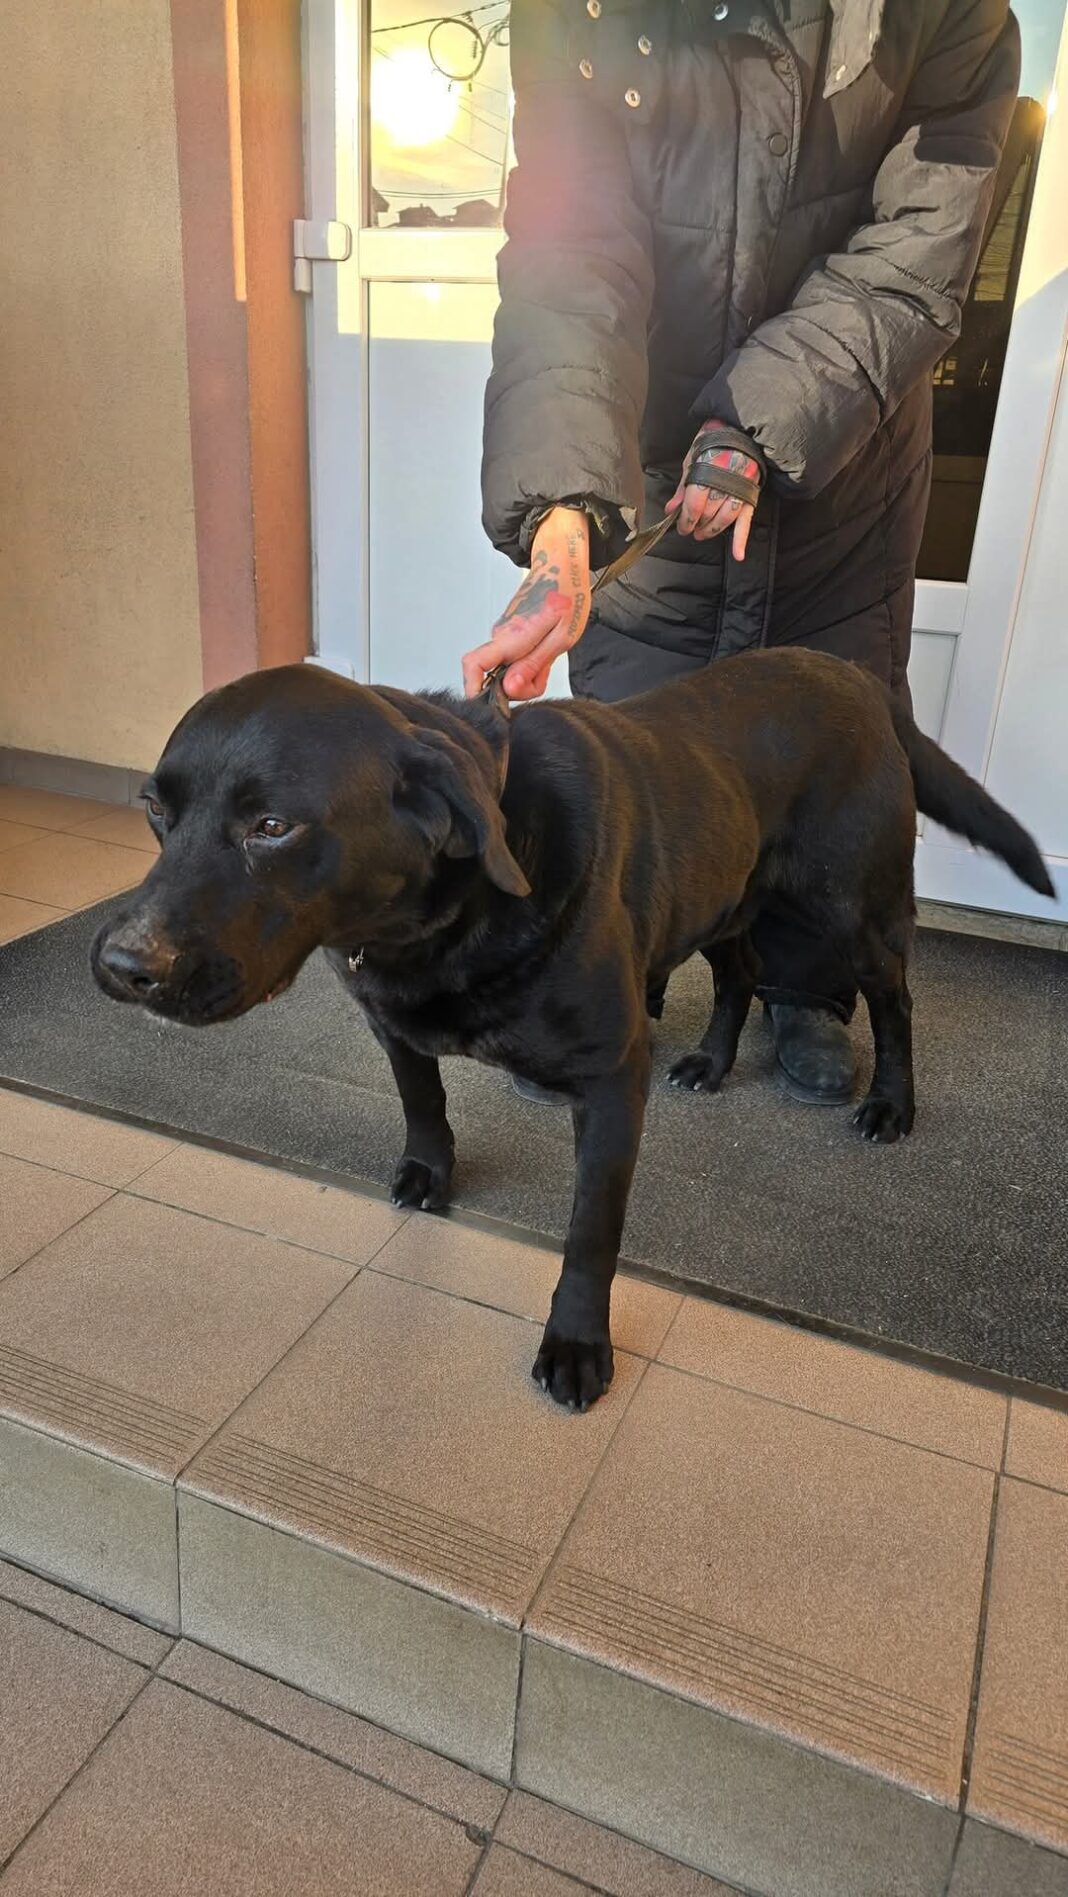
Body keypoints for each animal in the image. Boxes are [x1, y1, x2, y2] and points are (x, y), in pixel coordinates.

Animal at [92, 649, 1053, 1408]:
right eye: (154, 809)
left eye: (273, 825)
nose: (121, 965)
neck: (442, 922)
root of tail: (851, 673)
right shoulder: (393, 1024)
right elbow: (423, 1101)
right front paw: (428, 1172)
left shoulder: (611, 1074)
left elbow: (591, 1230)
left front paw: (578, 1345)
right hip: (724, 890)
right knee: (740, 971)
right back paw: (710, 1062)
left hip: (854, 905)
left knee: (893, 1000)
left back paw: (891, 1104)